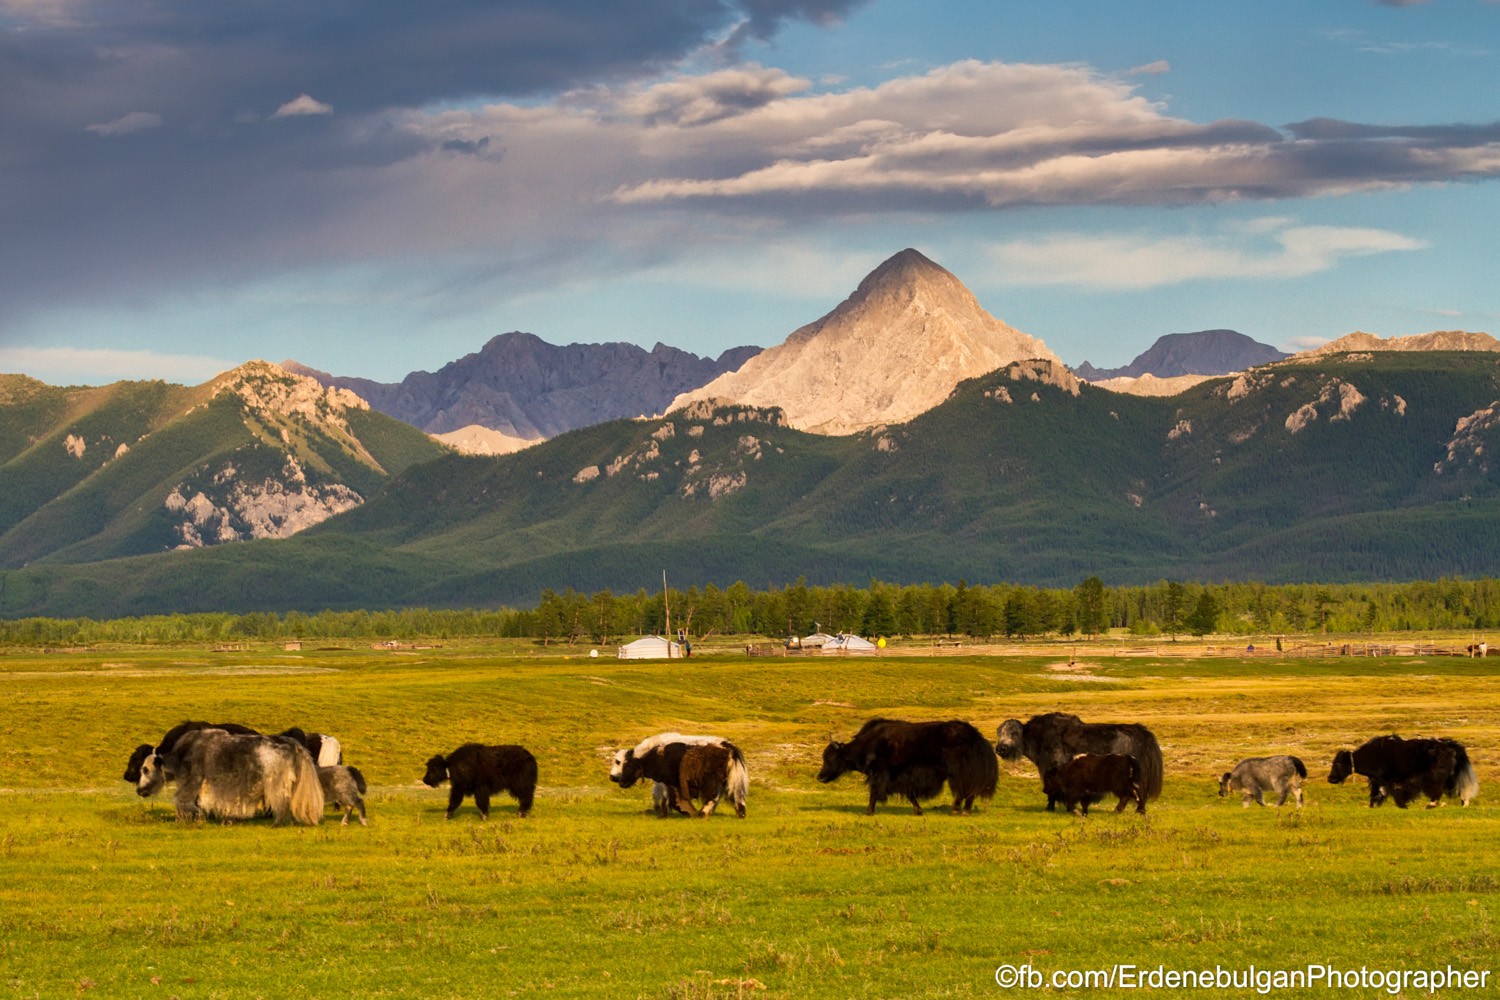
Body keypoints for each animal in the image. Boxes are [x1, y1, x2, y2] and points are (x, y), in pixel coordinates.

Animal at [136, 730, 324, 825]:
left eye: (145, 769)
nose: (139, 790)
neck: (180, 754)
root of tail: (294, 745)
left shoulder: (192, 778)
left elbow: (182, 799)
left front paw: (191, 817)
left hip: (276, 781)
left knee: (281, 800)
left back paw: (278, 821)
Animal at [609, 733, 749, 818]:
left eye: (623, 763)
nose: (612, 777)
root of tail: (729, 747)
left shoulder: (666, 780)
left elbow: (665, 795)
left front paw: (670, 811)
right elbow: (659, 795)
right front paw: (661, 810)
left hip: (712, 780)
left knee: (714, 796)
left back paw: (703, 813)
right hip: (726, 780)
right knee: (732, 797)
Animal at [817, 718, 999, 816]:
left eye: (829, 757)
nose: (820, 777)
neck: (867, 745)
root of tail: (977, 737)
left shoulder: (880, 772)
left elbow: (874, 792)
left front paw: (869, 811)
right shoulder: (900, 777)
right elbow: (909, 794)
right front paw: (918, 810)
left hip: (959, 772)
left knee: (965, 791)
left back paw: (959, 810)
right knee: (968, 791)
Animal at [996, 712, 1164, 809]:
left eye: (1014, 733)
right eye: (999, 733)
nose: (1000, 749)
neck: (1038, 738)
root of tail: (1140, 732)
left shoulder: (1051, 768)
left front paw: (1051, 807)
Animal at [1328, 735, 1478, 808]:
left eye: (1337, 763)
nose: (1330, 779)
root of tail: (1451, 745)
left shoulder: (1386, 779)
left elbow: (1386, 792)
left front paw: (1401, 804)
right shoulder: (1378, 780)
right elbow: (1378, 793)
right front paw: (1373, 805)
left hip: (1437, 776)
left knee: (1439, 790)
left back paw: (1431, 805)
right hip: (1451, 775)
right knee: (1459, 788)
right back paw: (1463, 804)